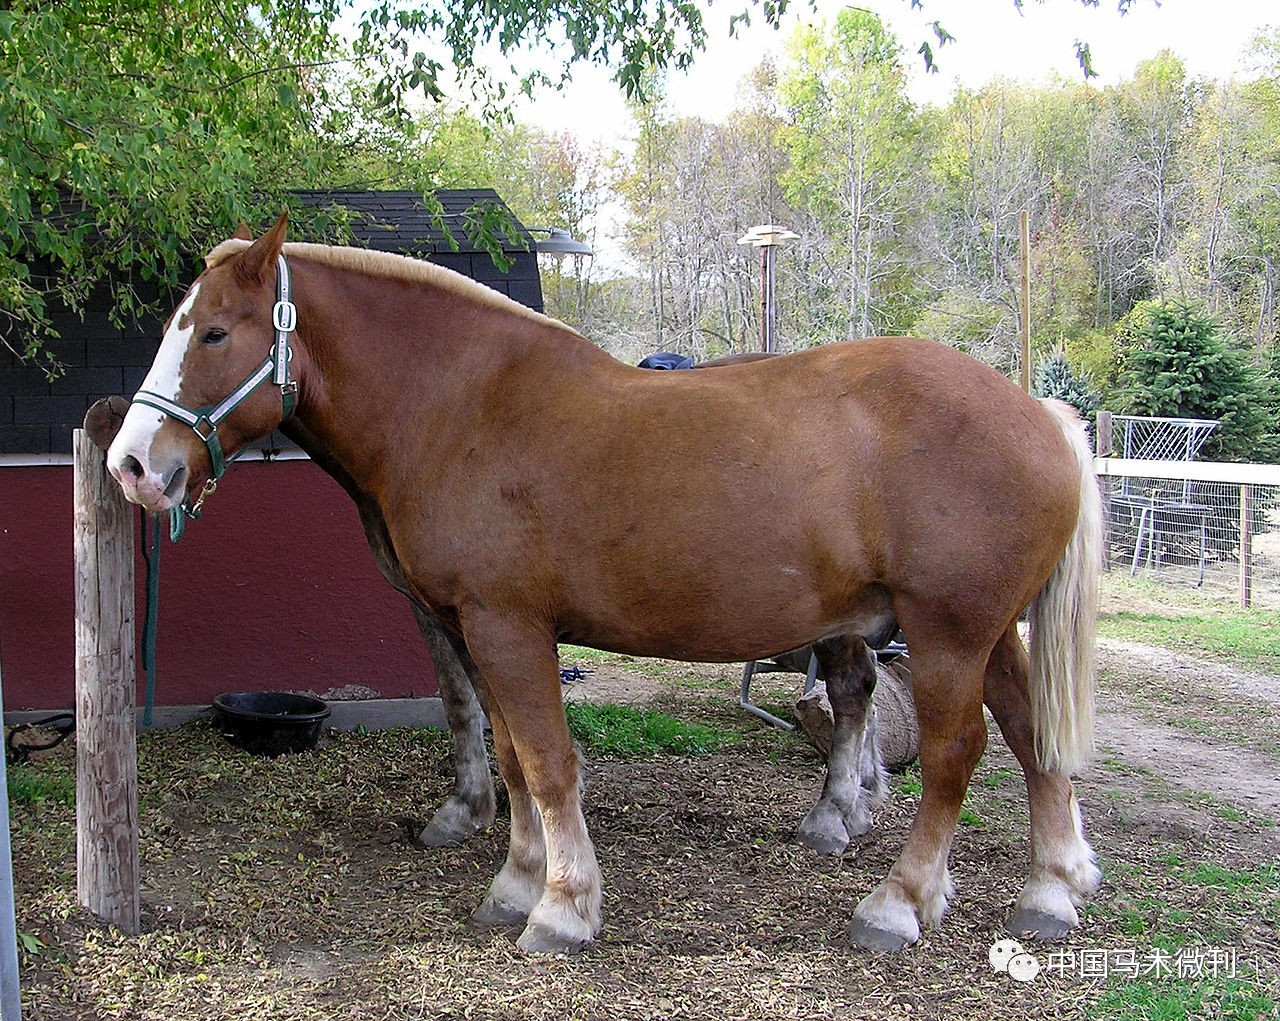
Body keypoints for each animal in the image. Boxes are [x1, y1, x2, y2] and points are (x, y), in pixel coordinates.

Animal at [107, 217, 1100, 962]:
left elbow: (547, 763)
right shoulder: (475, 628)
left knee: (956, 756)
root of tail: (1042, 413)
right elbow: (510, 757)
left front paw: (563, 905)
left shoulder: (507, 626)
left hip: (946, 634)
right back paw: (1050, 888)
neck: (462, 407)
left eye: (214, 332)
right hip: (988, 634)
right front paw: (515, 883)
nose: (133, 466)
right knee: (1031, 735)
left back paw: (897, 901)